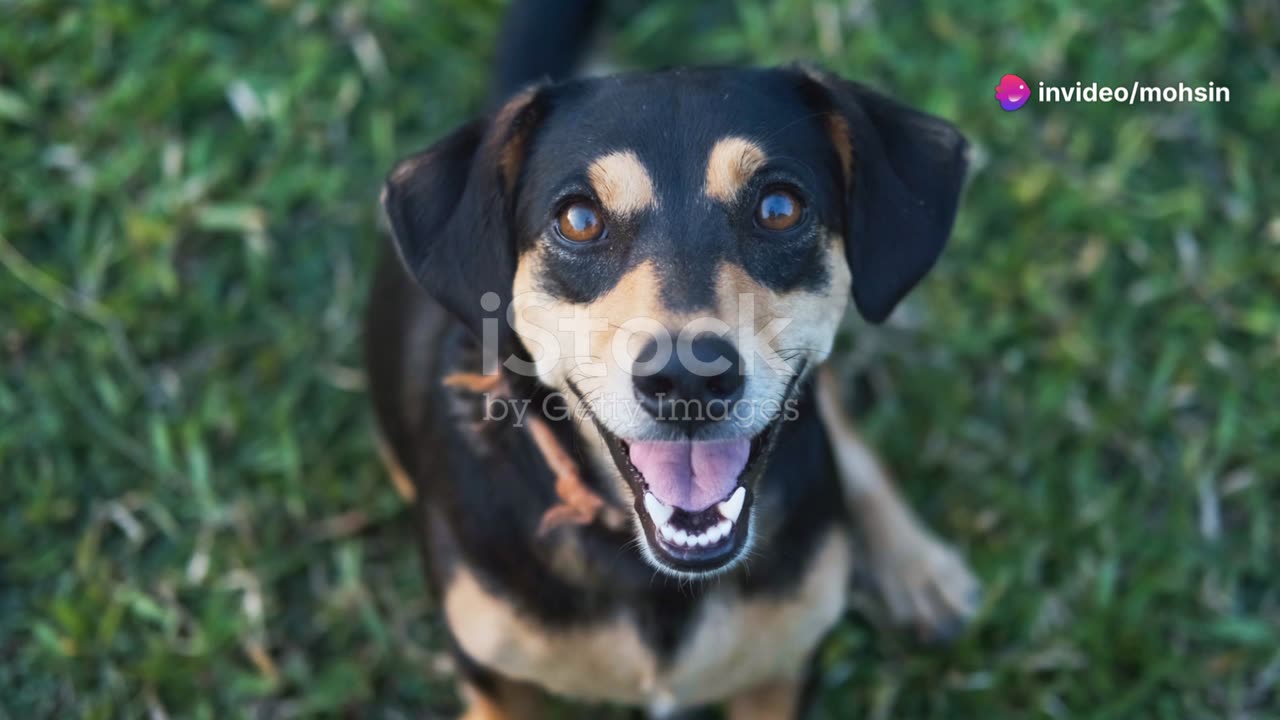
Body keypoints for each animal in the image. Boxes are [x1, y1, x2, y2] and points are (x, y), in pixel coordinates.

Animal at [366, 4, 983, 712]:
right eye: (579, 219)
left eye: (780, 208)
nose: (689, 378)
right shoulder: (496, 681)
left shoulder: (779, 673)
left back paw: (920, 569)